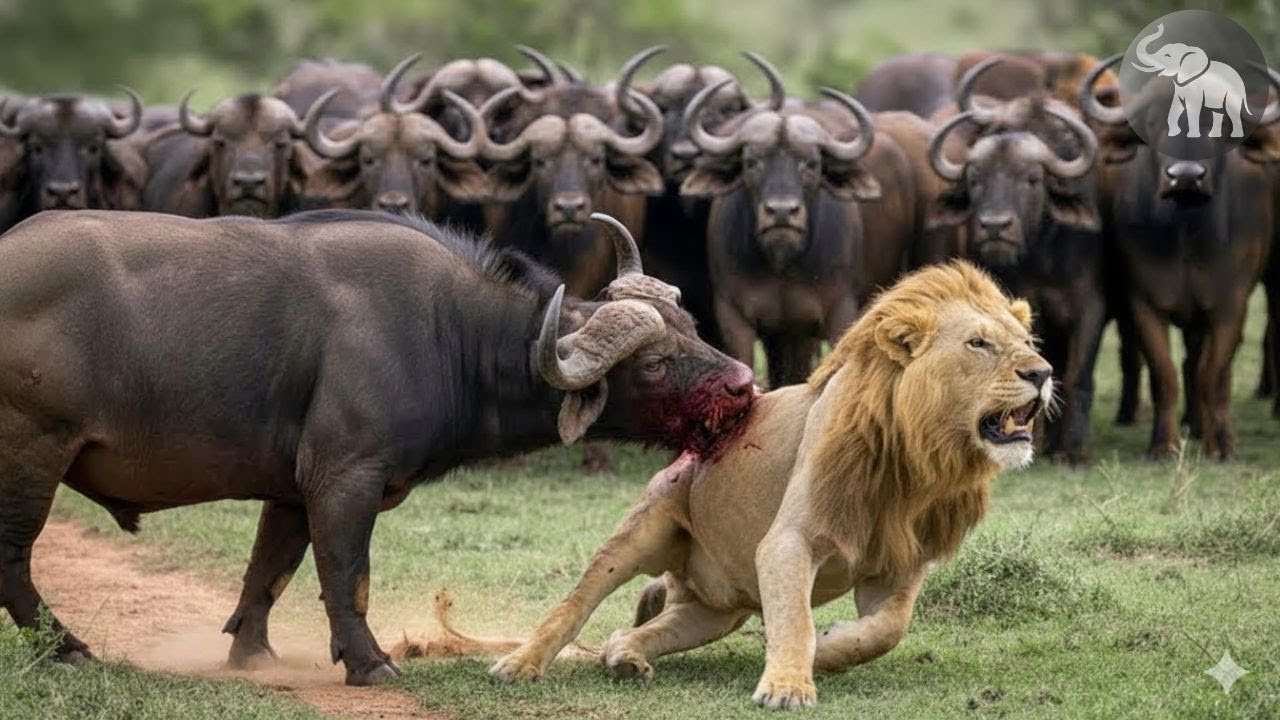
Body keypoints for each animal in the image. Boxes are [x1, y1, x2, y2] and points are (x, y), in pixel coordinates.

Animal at [0, 209, 754, 686]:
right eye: (653, 364)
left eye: (691, 327)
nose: (744, 385)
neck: (448, 331)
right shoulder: (346, 478)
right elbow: (347, 577)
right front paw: (367, 662)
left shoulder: (293, 491)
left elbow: (268, 573)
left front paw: (254, 656)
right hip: (32, 454)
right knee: (15, 561)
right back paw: (67, 649)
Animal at [476, 261, 1053, 708]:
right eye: (979, 343)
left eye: (1027, 342)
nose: (1042, 372)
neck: (914, 461)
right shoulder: (788, 540)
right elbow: (795, 619)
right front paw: (788, 687)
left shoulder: (901, 562)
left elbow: (887, 629)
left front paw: (830, 648)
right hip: (643, 529)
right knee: (575, 604)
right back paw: (520, 665)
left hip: (717, 611)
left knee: (637, 630)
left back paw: (627, 658)